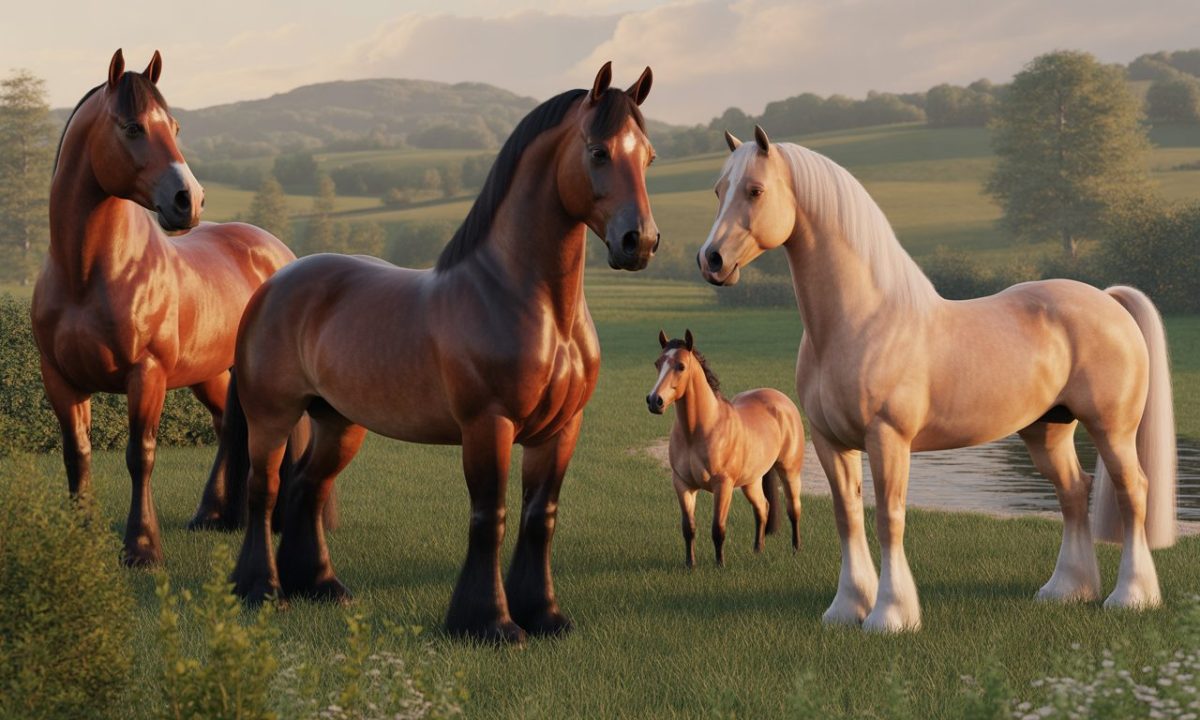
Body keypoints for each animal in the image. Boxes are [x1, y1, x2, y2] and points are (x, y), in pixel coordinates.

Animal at [32, 49, 298, 565]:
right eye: (133, 127)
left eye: (173, 126)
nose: (188, 200)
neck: (87, 276)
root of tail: (277, 251)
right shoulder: (60, 379)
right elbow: (77, 454)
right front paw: (82, 538)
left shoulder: (147, 374)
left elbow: (141, 455)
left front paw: (142, 547)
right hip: (211, 373)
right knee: (226, 427)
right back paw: (214, 515)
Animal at [229, 62, 659, 644]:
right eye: (598, 151)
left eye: (649, 155)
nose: (641, 242)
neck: (531, 303)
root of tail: (276, 280)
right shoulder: (488, 425)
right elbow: (490, 517)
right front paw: (490, 622)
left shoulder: (561, 430)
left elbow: (539, 517)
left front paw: (544, 614)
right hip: (272, 417)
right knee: (265, 489)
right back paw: (262, 589)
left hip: (339, 422)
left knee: (307, 489)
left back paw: (320, 586)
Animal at [647, 330, 804, 567]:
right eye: (658, 363)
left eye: (681, 366)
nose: (654, 400)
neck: (699, 430)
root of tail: (782, 400)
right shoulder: (682, 484)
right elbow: (688, 528)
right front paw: (689, 564)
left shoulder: (723, 485)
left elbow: (718, 529)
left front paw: (720, 564)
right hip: (751, 481)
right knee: (762, 508)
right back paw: (758, 549)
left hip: (789, 472)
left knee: (793, 509)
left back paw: (796, 550)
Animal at [697, 126, 1176, 632]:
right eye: (719, 190)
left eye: (755, 190)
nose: (711, 260)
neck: (862, 320)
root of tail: (1107, 299)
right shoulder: (831, 442)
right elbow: (848, 517)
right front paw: (847, 607)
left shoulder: (888, 438)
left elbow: (888, 519)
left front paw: (890, 614)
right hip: (1048, 430)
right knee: (1073, 491)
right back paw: (1065, 590)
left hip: (1112, 429)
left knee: (1132, 491)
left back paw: (1131, 596)